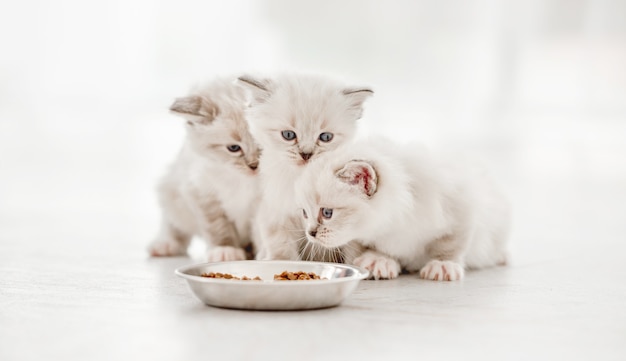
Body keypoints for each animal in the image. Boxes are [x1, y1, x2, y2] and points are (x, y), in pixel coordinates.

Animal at [147, 77, 260, 260]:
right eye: (234, 148)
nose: (254, 166)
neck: (242, 181)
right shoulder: (201, 194)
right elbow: (218, 228)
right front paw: (225, 250)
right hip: (171, 192)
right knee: (172, 224)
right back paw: (166, 245)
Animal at [234, 71, 370, 260]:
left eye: (325, 137)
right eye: (288, 135)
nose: (306, 154)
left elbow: (353, 247)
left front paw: (359, 262)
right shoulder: (277, 213)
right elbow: (281, 247)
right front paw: (280, 262)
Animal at [292, 136, 508, 280]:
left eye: (327, 213)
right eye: (305, 213)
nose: (310, 233)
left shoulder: (460, 206)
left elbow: (451, 244)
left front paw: (443, 264)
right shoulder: (361, 238)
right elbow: (372, 247)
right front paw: (378, 260)